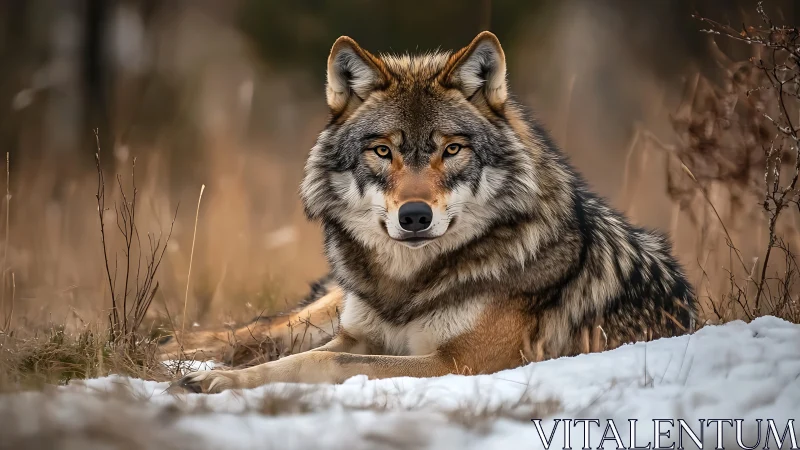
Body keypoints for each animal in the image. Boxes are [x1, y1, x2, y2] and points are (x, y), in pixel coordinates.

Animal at [171, 31, 697, 394]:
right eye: (383, 151)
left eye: (452, 149)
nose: (415, 216)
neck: (408, 288)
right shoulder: (357, 336)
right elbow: (293, 361)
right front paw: (219, 380)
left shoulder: (458, 364)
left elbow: (323, 363)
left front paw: (221, 381)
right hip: (326, 310)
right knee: (250, 332)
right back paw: (179, 355)